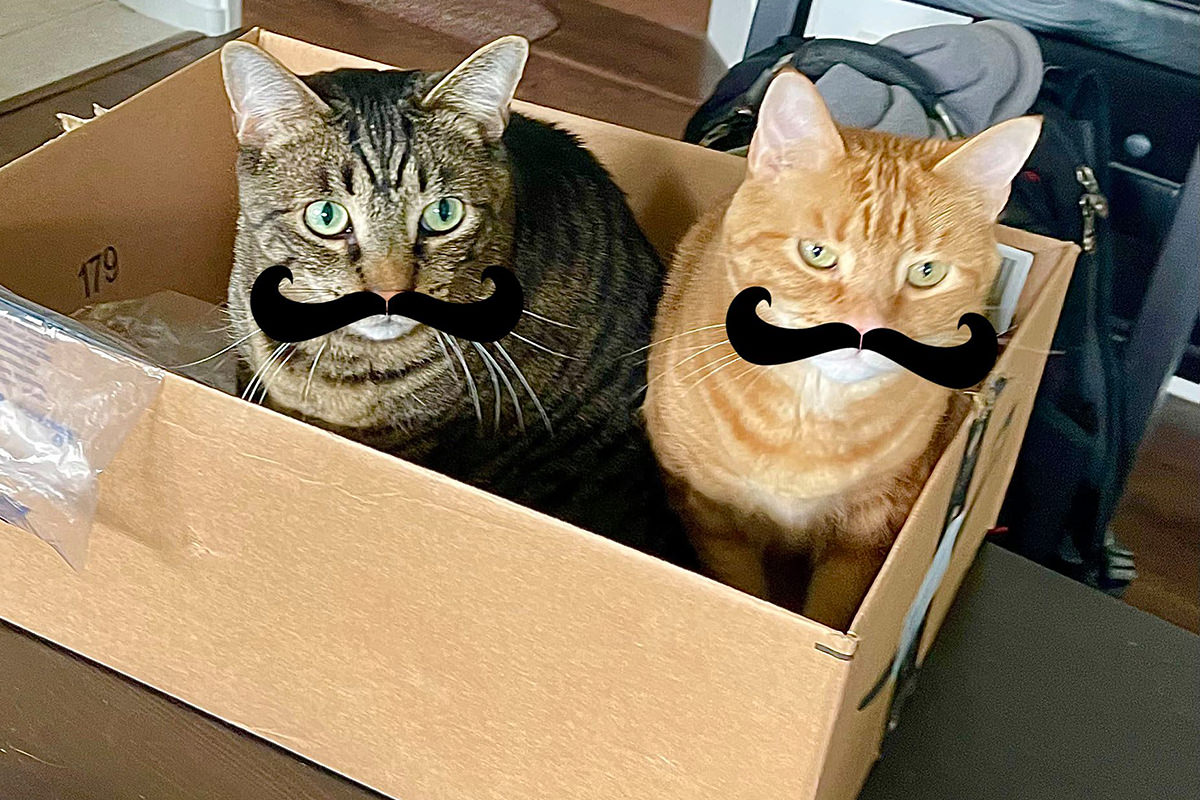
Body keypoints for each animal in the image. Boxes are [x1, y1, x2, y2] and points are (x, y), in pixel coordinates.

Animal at [638, 68, 1041, 628]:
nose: (865, 329)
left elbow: (829, 609)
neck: (810, 415)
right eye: (817, 254)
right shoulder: (711, 516)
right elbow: (742, 587)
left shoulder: (870, 530)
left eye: (926, 272)